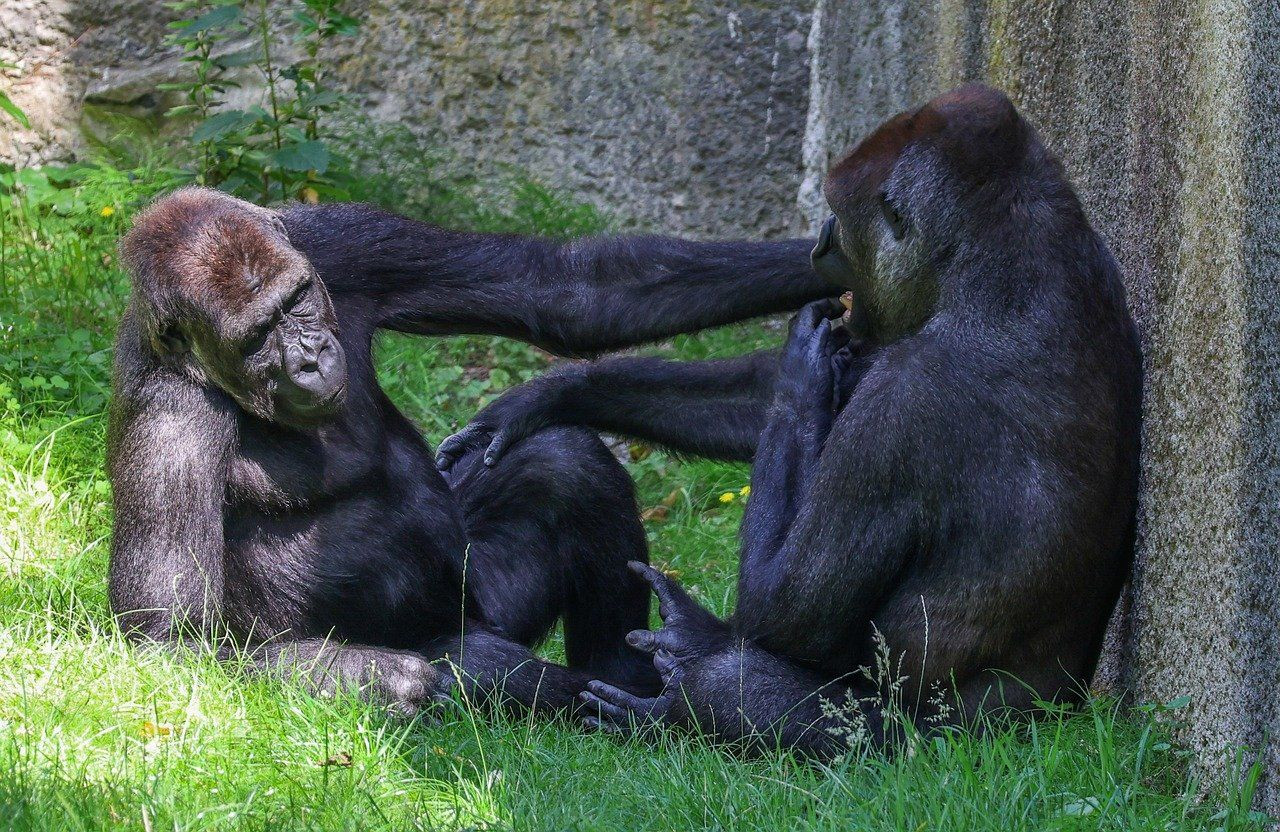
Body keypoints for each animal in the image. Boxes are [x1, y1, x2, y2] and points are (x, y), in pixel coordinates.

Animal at [107, 186, 829, 711]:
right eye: (260, 337)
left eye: (298, 300)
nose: (310, 359)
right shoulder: (168, 423)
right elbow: (171, 644)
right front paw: (375, 678)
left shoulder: (338, 240)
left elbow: (573, 295)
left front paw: (831, 256)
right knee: (478, 660)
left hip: (486, 596)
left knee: (565, 466)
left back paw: (625, 678)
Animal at [448, 85, 1141, 752]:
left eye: (844, 216)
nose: (822, 238)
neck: (1006, 255)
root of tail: (1053, 719)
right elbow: (758, 401)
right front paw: (559, 391)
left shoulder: (902, 403)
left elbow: (785, 612)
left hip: (947, 749)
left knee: (733, 684)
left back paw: (673, 695)